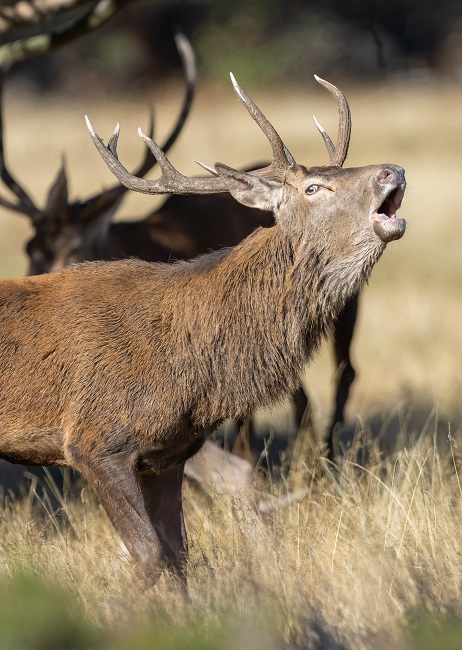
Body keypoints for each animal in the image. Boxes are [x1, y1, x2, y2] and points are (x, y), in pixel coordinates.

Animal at [0, 72, 404, 584]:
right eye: (313, 188)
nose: (392, 171)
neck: (194, 366)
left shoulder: (167, 454)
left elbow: (177, 556)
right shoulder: (94, 440)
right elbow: (149, 556)